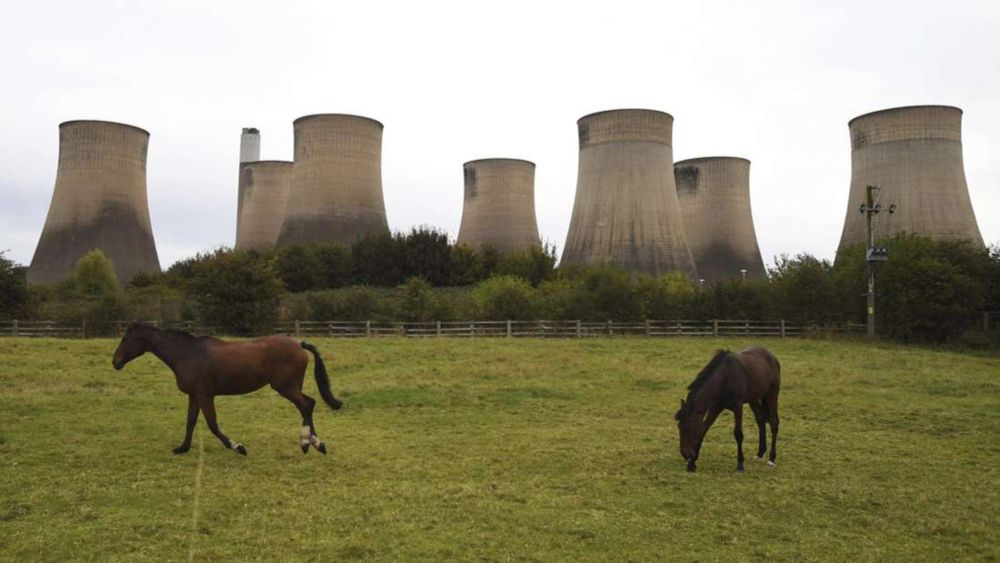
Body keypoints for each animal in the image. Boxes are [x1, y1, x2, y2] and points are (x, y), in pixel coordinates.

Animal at [112, 324, 342, 456]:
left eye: (126, 339)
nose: (115, 362)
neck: (187, 354)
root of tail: (299, 345)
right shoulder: (194, 396)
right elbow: (190, 422)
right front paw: (183, 448)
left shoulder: (205, 395)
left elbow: (212, 425)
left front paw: (238, 447)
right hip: (292, 386)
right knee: (306, 407)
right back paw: (314, 443)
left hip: (286, 387)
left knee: (307, 404)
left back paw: (308, 442)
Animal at [676, 346, 776, 474]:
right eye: (679, 427)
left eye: (687, 427)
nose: (685, 454)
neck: (725, 377)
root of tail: (771, 355)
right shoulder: (716, 407)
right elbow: (703, 430)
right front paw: (692, 464)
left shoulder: (738, 406)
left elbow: (738, 434)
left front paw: (740, 464)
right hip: (753, 399)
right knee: (760, 420)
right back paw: (759, 454)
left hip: (772, 394)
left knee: (774, 422)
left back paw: (772, 458)